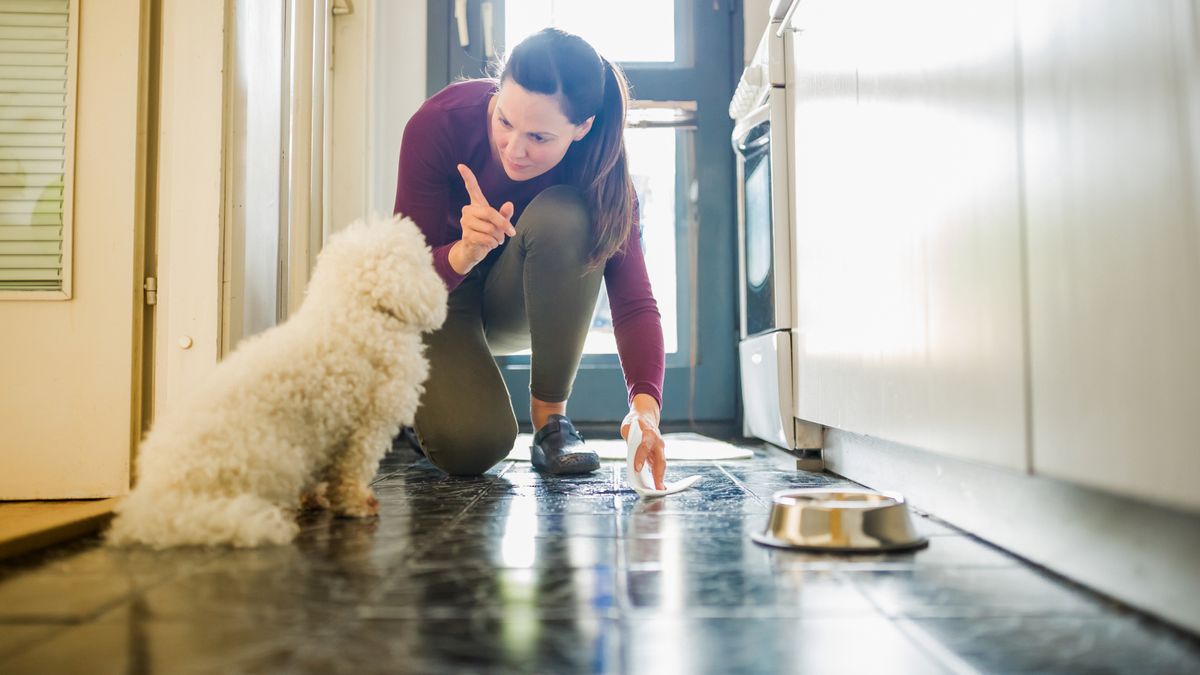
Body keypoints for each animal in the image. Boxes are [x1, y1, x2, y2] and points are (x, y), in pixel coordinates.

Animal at [105, 214, 446, 547]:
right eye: (421, 258)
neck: (356, 312)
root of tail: (160, 498)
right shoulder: (366, 424)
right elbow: (351, 470)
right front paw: (357, 504)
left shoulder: (324, 431)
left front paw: (316, 499)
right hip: (277, 455)